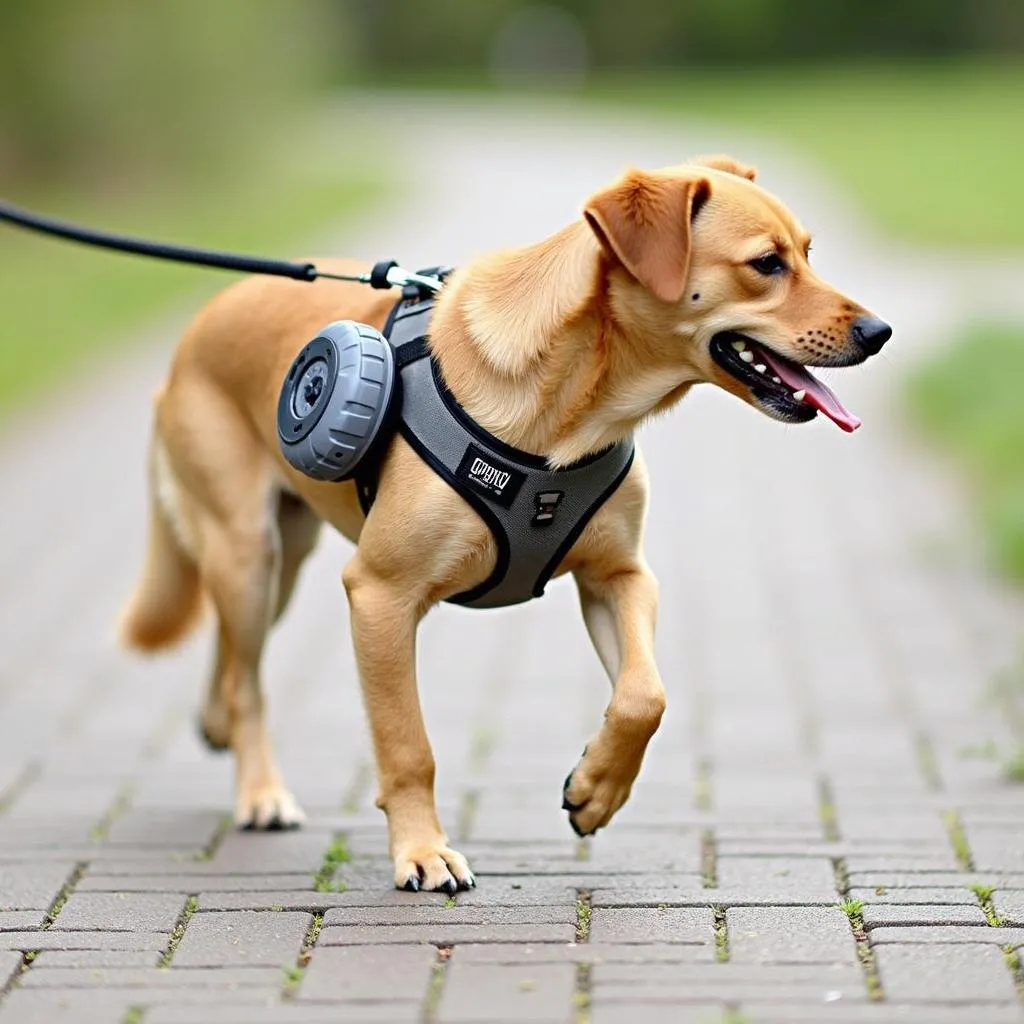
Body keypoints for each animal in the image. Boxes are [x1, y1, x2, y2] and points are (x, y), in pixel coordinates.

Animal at [117, 155, 888, 892]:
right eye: (767, 264)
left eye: (808, 253)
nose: (879, 332)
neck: (571, 412)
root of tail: (202, 322)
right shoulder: (380, 595)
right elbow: (408, 747)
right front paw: (422, 852)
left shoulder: (619, 577)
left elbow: (645, 696)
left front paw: (597, 789)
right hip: (248, 553)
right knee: (247, 682)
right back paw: (260, 793)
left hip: (279, 563)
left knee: (230, 661)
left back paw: (214, 724)